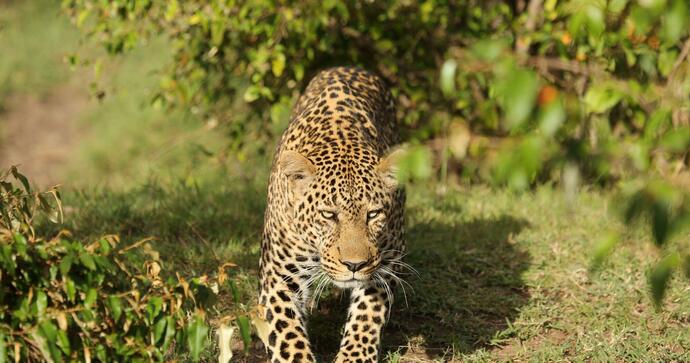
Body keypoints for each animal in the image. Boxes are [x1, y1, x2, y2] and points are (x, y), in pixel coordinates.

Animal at [258, 66, 408, 363]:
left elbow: (366, 315)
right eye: (329, 215)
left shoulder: (386, 260)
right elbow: (287, 336)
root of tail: (349, 66)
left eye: (373, 214)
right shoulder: (277, 277)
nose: (354, 265)